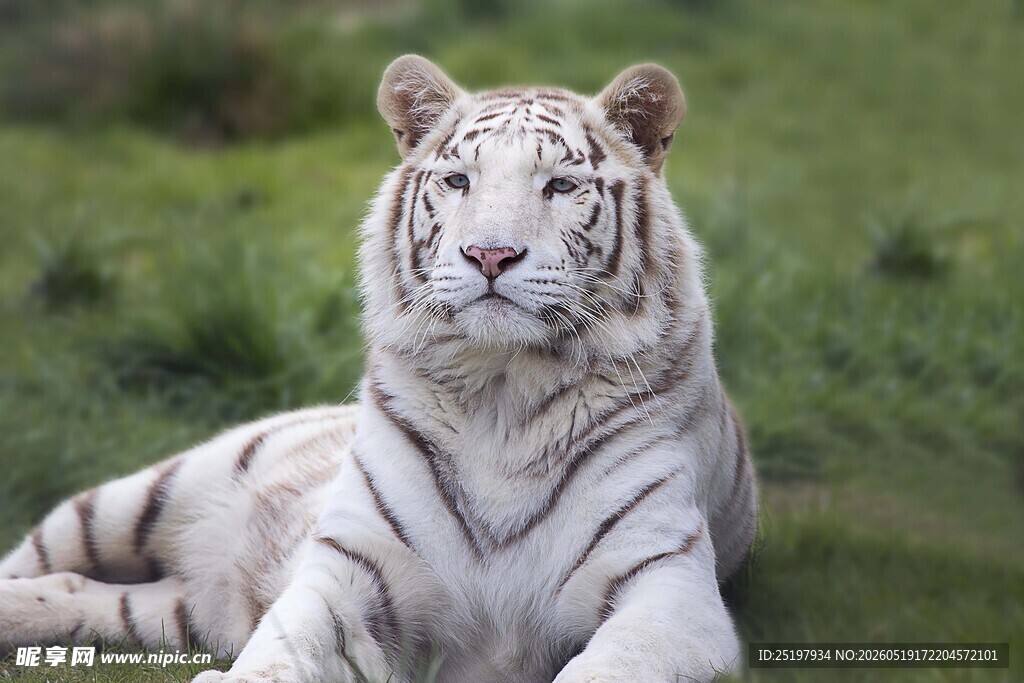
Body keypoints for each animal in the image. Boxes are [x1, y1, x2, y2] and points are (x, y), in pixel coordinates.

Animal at [0, 55, 758, 683]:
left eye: (561, 185)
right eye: (458, 180)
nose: (489, 254)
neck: (504, 391)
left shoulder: (668, 589)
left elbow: (610, 666)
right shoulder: (350, 570)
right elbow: (283, 647)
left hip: (174, 608)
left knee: (80, 592)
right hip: (139, 496)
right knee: (38, 559)